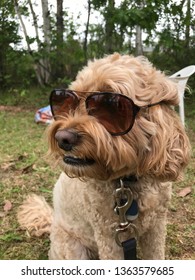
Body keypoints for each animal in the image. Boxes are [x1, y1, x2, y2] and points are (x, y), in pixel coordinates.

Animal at [17, 53, 190, 260]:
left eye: (111, 106)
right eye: (66, 102)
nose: (62, 138)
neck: (127, 181)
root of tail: (53, 221)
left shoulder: (156, 226)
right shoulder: (108, 234)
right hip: (71, 248)